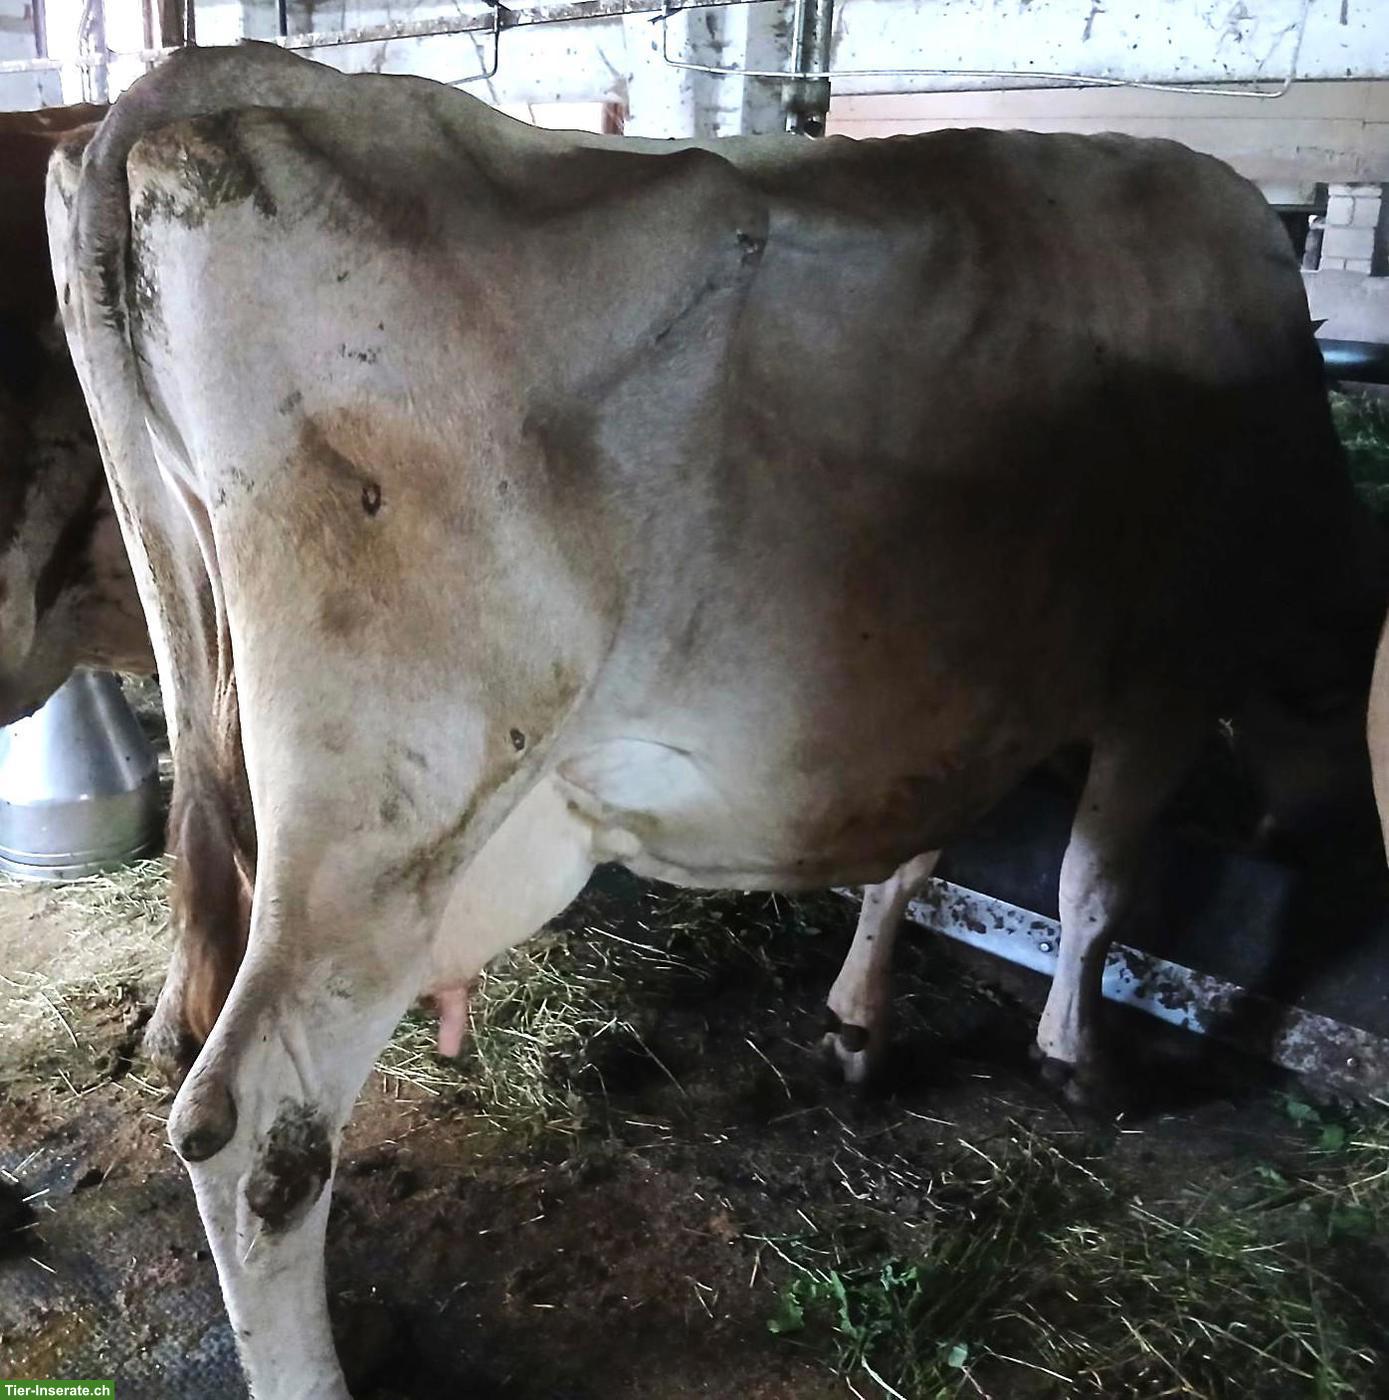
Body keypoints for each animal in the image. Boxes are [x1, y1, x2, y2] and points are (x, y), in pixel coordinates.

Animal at [50, 43, 1383, 1399]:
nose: (1348, 857)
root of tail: (208, 83)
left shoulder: (954, 699)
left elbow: (914, 854)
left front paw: (858, 1025)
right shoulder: (1163, 677)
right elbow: (1094, 885)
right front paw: (1080, 1060)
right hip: (384, 820)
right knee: (257, 1129)